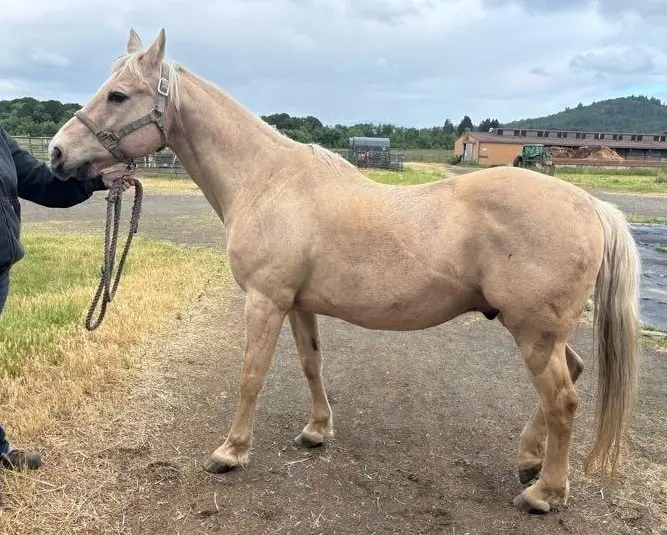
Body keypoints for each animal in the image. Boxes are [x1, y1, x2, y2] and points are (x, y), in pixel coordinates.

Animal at [48, 28, 641, 514]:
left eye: (118, 95)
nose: (56, 154)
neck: (268, 181)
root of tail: (590, 205)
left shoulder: (264, 299)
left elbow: (251, 374)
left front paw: (231, 452)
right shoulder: (296, 304)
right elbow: (312, 365)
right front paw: (316, 431)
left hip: (533, 332)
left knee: (564, 399)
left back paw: (544, 493)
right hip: (542, 331)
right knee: (572, 377)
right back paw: (528, 459)